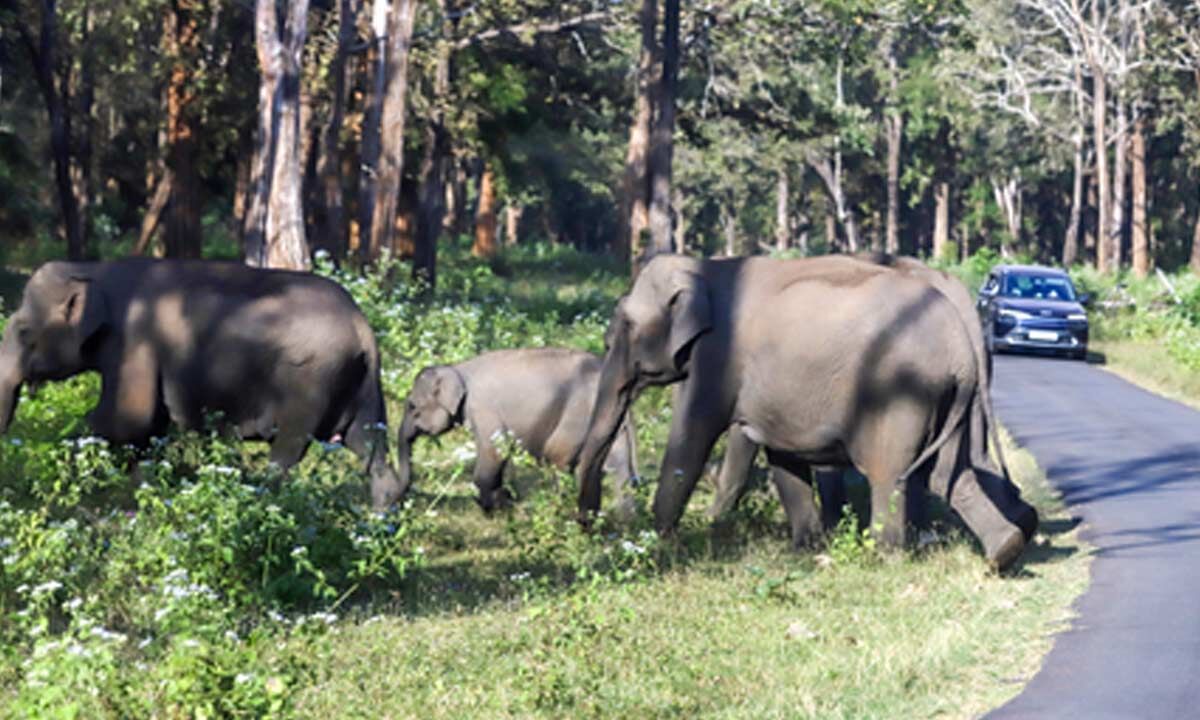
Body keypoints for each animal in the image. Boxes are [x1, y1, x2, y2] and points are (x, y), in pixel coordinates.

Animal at [0, 259, 405, 508]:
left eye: (23, 332)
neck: (93, 269)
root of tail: (363, 327)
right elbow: (144, 428)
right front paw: (145, 494)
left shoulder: (135, 340)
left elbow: (126, 419)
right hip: (363, 386)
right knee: (369, 448)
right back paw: (380, 520)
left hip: (310, 382)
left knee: (288, 452)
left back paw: (262, 502)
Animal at [398, 347, 639, 513]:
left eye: (412, 407)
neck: (456, 368)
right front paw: (503, 501)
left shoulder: (482, 408)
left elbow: (495, 450)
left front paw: (493, 508)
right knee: (616, 467)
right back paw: (623, 520)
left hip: (580, 415)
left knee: (559, 458)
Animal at [575, 253, 1037, 570]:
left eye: (627, 325)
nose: (587, 525)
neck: (704, 266)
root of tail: (962, 343)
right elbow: (782, 456)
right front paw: (806, 548)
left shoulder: (717, 359)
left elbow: (693, 437)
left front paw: (662, 542)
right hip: (951, 396)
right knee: (950, 475)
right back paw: (1006, 549)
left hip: (901, 394)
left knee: (891, 474)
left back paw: (883, 558)